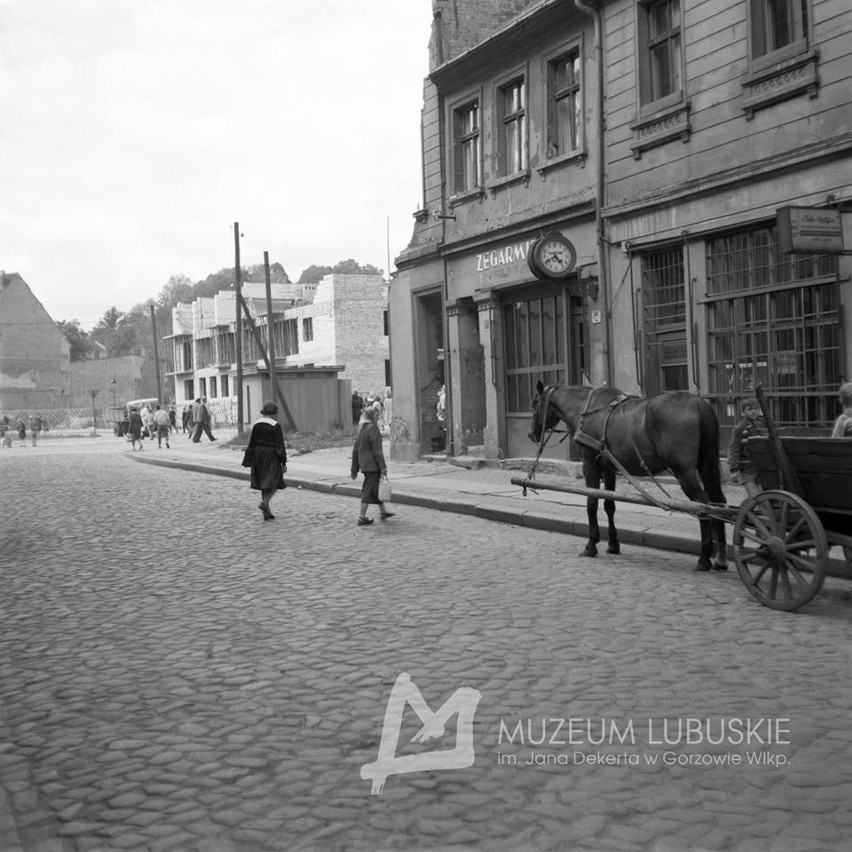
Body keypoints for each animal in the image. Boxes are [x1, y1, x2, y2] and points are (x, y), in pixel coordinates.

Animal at [528, 384, 728, 572]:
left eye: (535, 402)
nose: (531, 434)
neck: (585, 408)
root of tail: (697, 403)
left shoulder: (590, 463)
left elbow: (592, 502)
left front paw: (591, 544)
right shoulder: (609, 467)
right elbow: (609, 504)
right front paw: (613, 544)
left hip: (684, 472)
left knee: (702, 504)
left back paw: (704, 557)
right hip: (704, 465)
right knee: (717, 500)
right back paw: (720, 558)